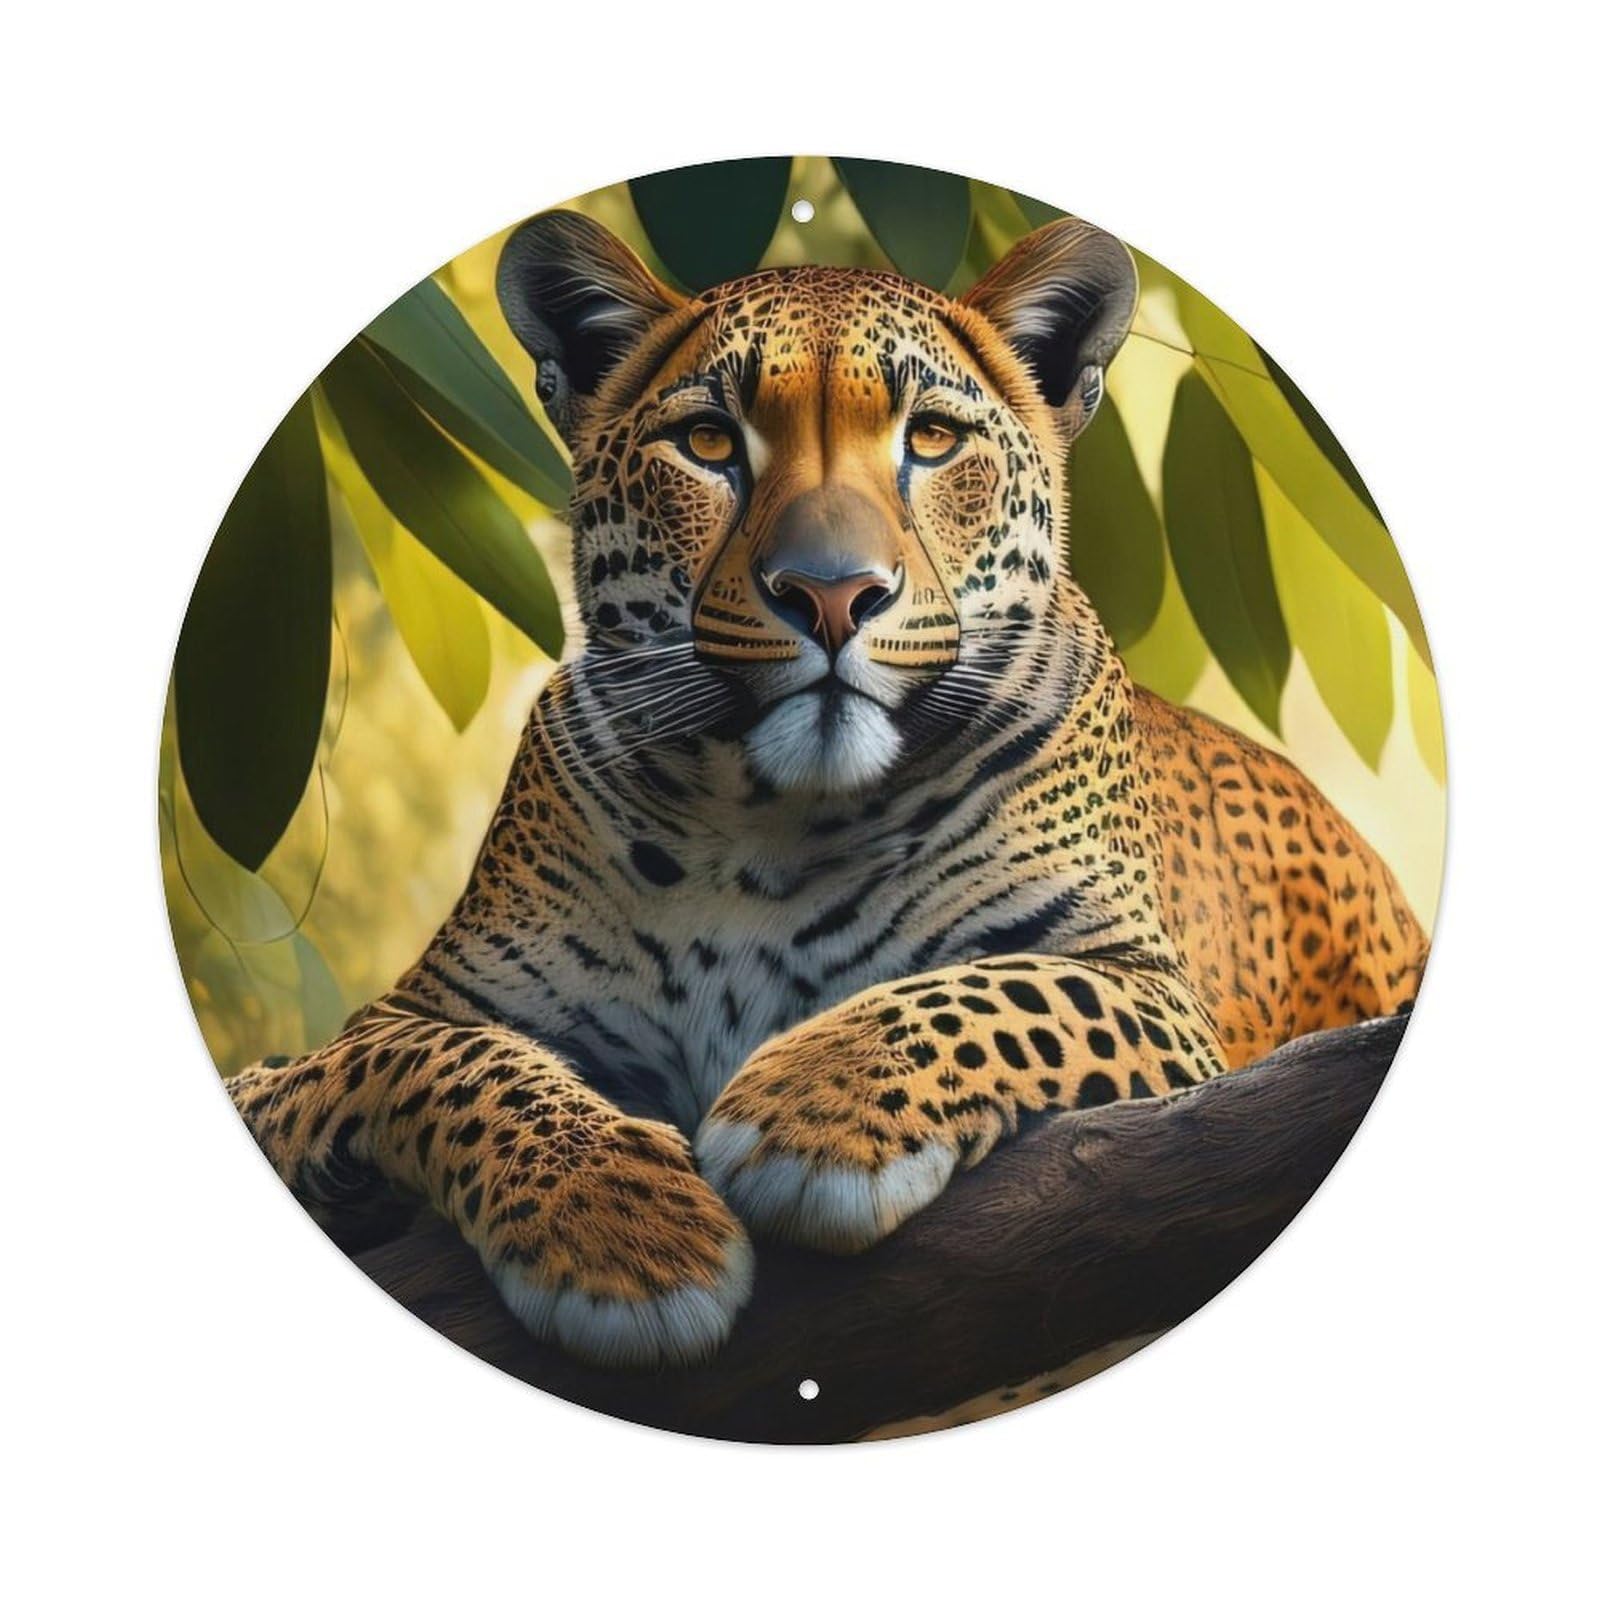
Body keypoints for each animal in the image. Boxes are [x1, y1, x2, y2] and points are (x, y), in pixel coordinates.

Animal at [226, 209, 1427, 1369]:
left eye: (931, 439)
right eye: (709, 442)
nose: (833, 594)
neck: (765, 821)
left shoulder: (1147, 987)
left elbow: (999, 990)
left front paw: (809, 1111)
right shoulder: (368, 1032)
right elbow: (444, 1055)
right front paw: (620, 1224)